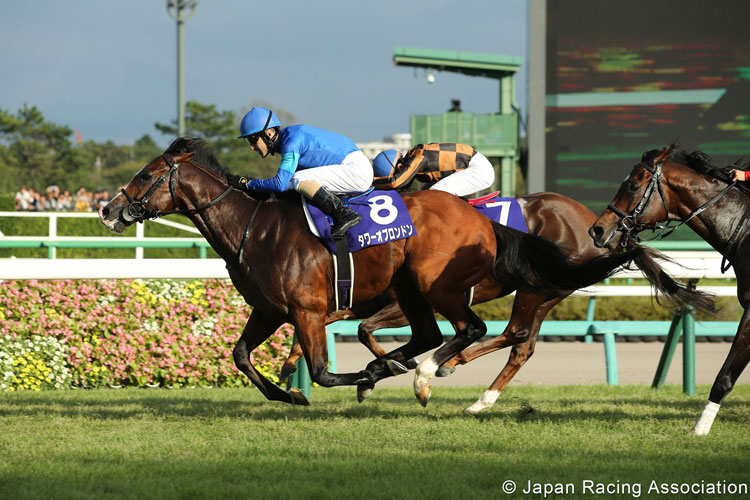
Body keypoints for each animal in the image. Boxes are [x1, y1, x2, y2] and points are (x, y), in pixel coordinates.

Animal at [101, 137, 648, 406]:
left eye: (147, 175)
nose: (108, 210)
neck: (254, 227)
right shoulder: (271, 309)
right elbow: (240, 355)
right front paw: (285, 389)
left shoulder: (310, 309)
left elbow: (325, 370)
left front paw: (350, 379)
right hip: (424, 290)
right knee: (479, 338)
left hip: (458, 287)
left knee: (489, 332)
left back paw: (435, 375)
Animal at [282, 191, 716, 410]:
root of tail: (594, 224)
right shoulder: (368, 298)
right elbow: (332, 319)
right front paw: (291, 365)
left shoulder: (400, 301)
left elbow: (362, 328)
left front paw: (392, 368)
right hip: (547, 290)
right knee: (522, 343)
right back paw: (474, 390)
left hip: (536, 288)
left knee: (516, 333)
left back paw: (452, 370)